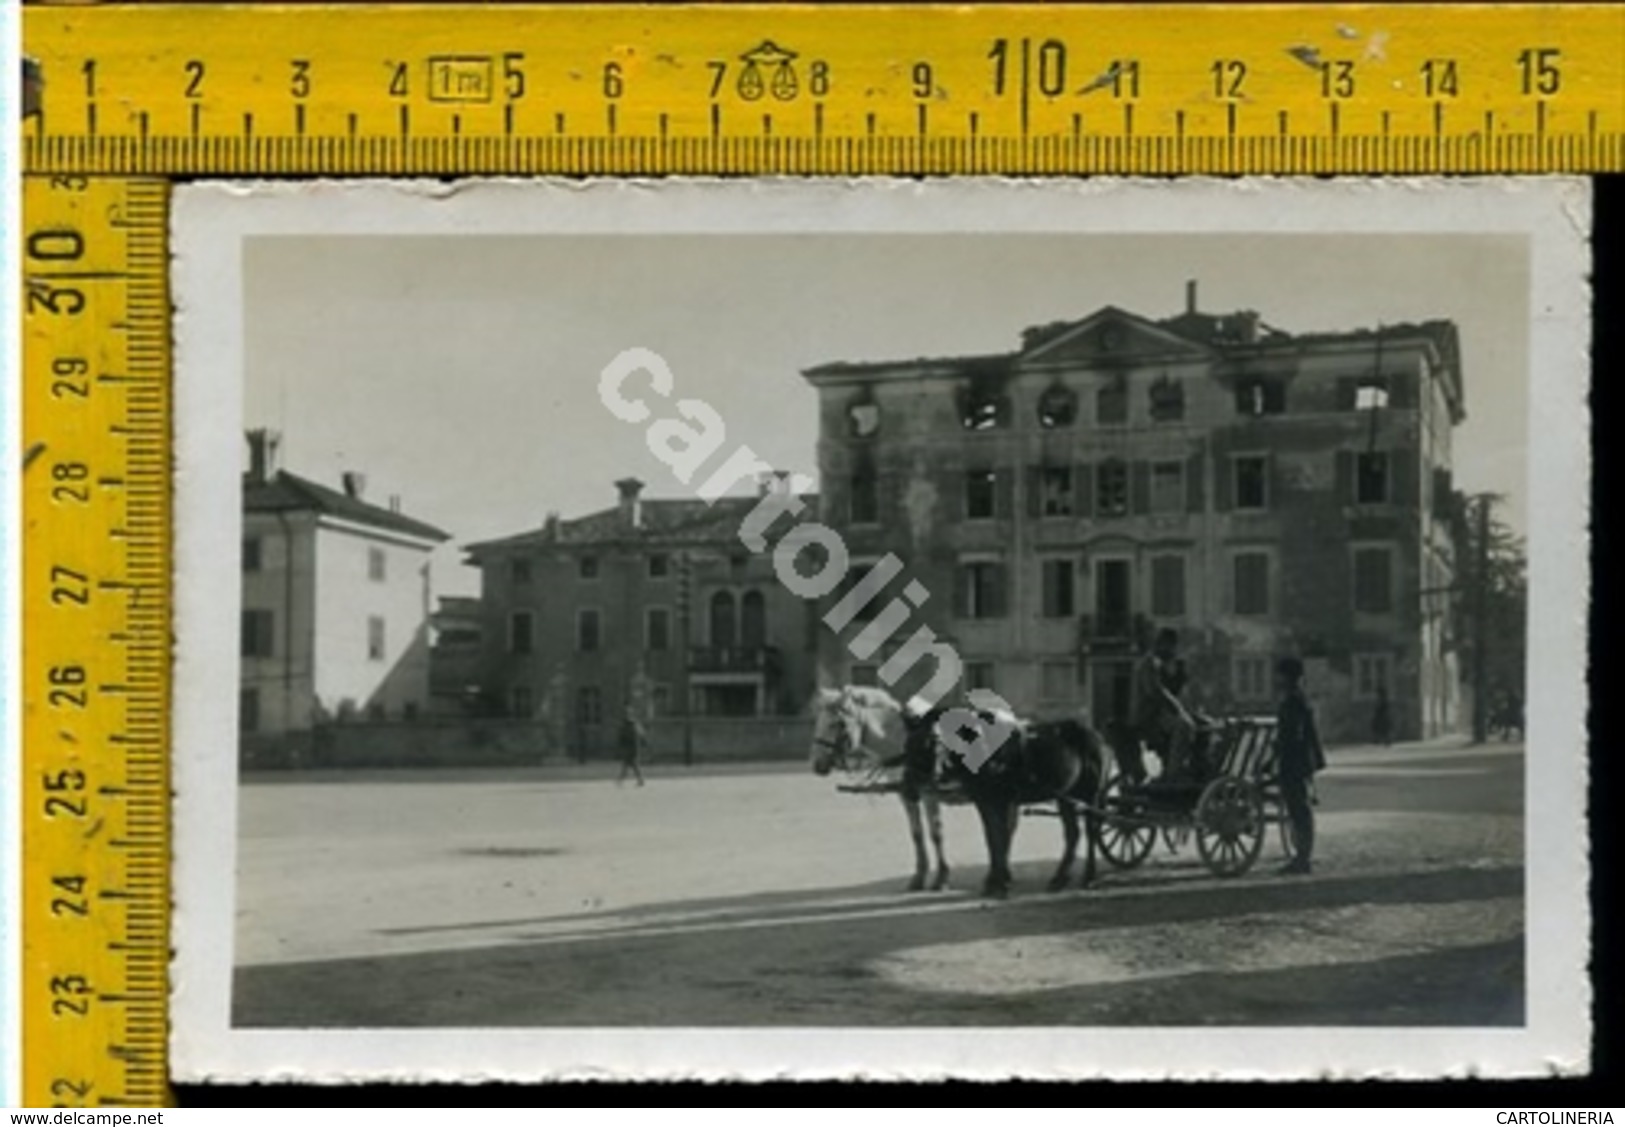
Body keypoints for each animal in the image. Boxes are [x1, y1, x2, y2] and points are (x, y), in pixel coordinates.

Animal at [809, 685, 949, 896]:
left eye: (837, 724)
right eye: (819, 722)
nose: (817, 765)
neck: (905, 743)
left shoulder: (929, 794)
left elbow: (936, 833)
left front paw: (941, 877)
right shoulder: (906, 795)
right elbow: (916, 834)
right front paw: (918, 876)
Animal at [916, 708, 1105, 902]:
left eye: (937, 739)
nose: (930, 777)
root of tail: (1091, 733)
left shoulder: (1002, 801)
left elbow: (1001, 837)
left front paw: (1001, 884)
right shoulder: (983, 802)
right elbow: (991, 838)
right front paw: (993, 883)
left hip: (1092, 793)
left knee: (1091, 829)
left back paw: (1089, 877)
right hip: (1065, 796)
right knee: (1073, 833)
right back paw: (1059, 879)